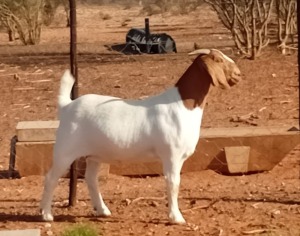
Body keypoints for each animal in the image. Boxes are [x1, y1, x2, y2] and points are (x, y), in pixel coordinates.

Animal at [40, 49, 241, 223]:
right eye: (219, 60)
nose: (238, 74)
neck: (182, 105)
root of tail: (67, 106)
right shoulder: (172, 155)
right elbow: (173, 184)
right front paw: (176, 218)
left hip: (95, 155)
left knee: (90, 179)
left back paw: (103, 210)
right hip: (65, 150)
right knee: (50, 178)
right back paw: (46, 214)